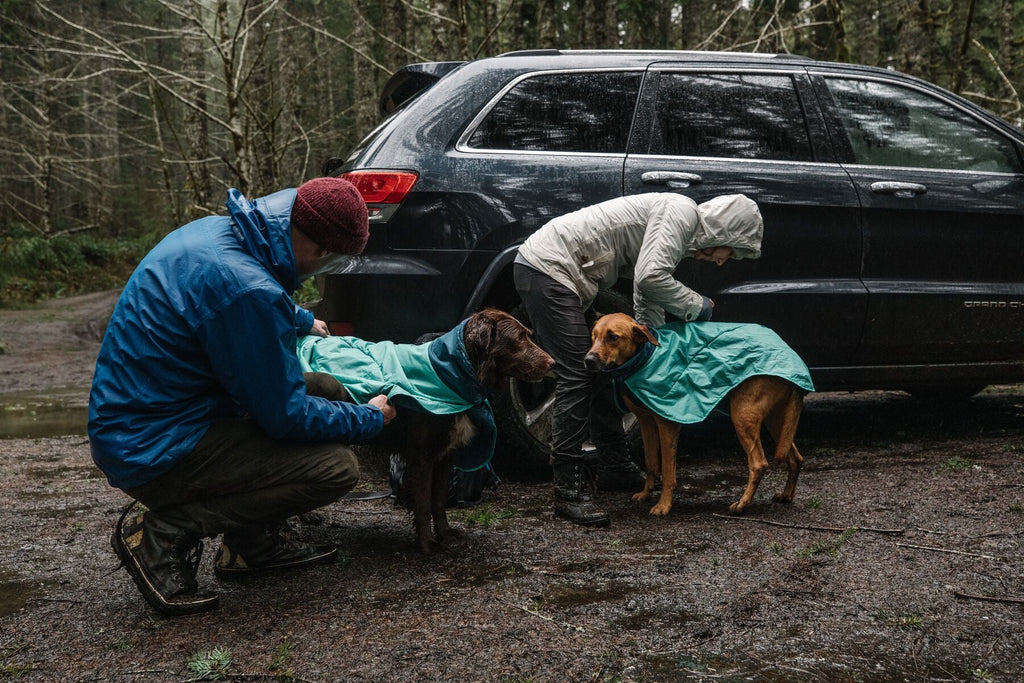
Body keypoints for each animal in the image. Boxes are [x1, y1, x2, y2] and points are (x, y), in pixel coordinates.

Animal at [589, 313, 802, 516]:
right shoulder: (646, 421)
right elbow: (651, 463)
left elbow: (667, 471)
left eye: (613, 337)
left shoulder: (666, 424)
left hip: (743, 416)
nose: (588, 360)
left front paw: (664, 505)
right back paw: (786, 495)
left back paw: (742, 504)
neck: (646, 357)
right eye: (593, 336)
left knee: (758, 464)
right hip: (777, 421)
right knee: (795, 458)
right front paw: (646, 493)